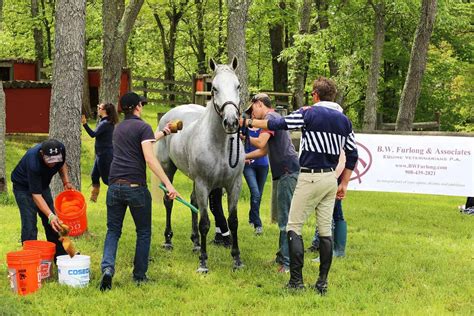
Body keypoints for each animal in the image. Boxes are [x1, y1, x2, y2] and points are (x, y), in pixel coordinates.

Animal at [156, 57, 244, 272]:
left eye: (238, 85)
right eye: (214, 88)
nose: (231, 122)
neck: (221, 146)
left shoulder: (233, 185)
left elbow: (233, 221)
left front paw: (237, 260)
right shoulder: (204, 184)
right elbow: (205, 222)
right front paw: (203, 262)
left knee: (193, 202)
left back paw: (196, 242)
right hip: (167, 169)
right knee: (169, 201)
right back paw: (168, 240)